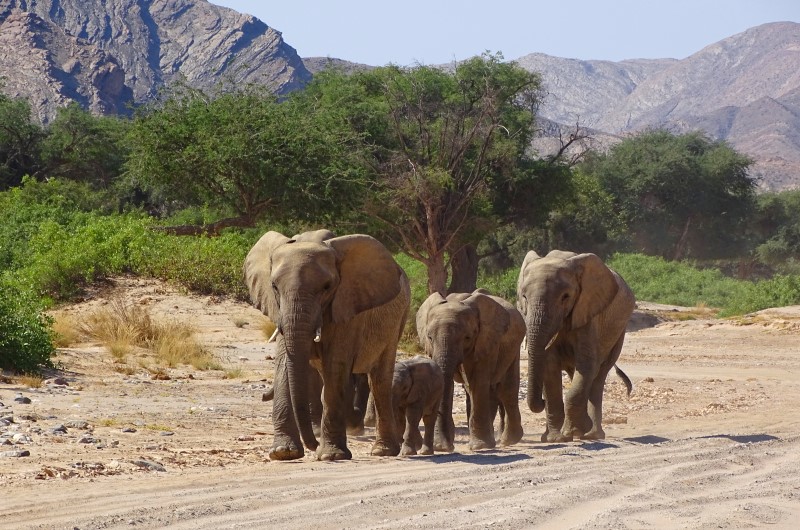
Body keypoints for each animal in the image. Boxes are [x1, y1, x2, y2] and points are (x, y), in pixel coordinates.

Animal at [244, 228, 410, 458]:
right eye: (274, 286)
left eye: (327, 287)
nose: (312, 446)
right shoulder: (280, 310)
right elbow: (285, 363)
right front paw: (283, 452)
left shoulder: (346, 304)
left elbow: (335, 364)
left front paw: (332, 455)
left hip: (397, 321)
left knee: (379, 379)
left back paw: (382, 451)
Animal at [418, 288, 524, 450]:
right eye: (429, 337)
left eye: (467, 338)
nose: (444, 447)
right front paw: (442, 446)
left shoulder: (486, 341)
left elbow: (478, 382)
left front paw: (480, 446)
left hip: (514, 347)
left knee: (506, 389)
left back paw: (509, 440)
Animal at [516, 250, 636, 440]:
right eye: (524, 297)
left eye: (565, 297)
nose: (541, 401)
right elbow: (549, 366)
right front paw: (555, 438)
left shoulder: (588, 313)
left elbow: (586, 364)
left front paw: (572, 432)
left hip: (619, 332)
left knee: (598, 376)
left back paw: (592, 434)